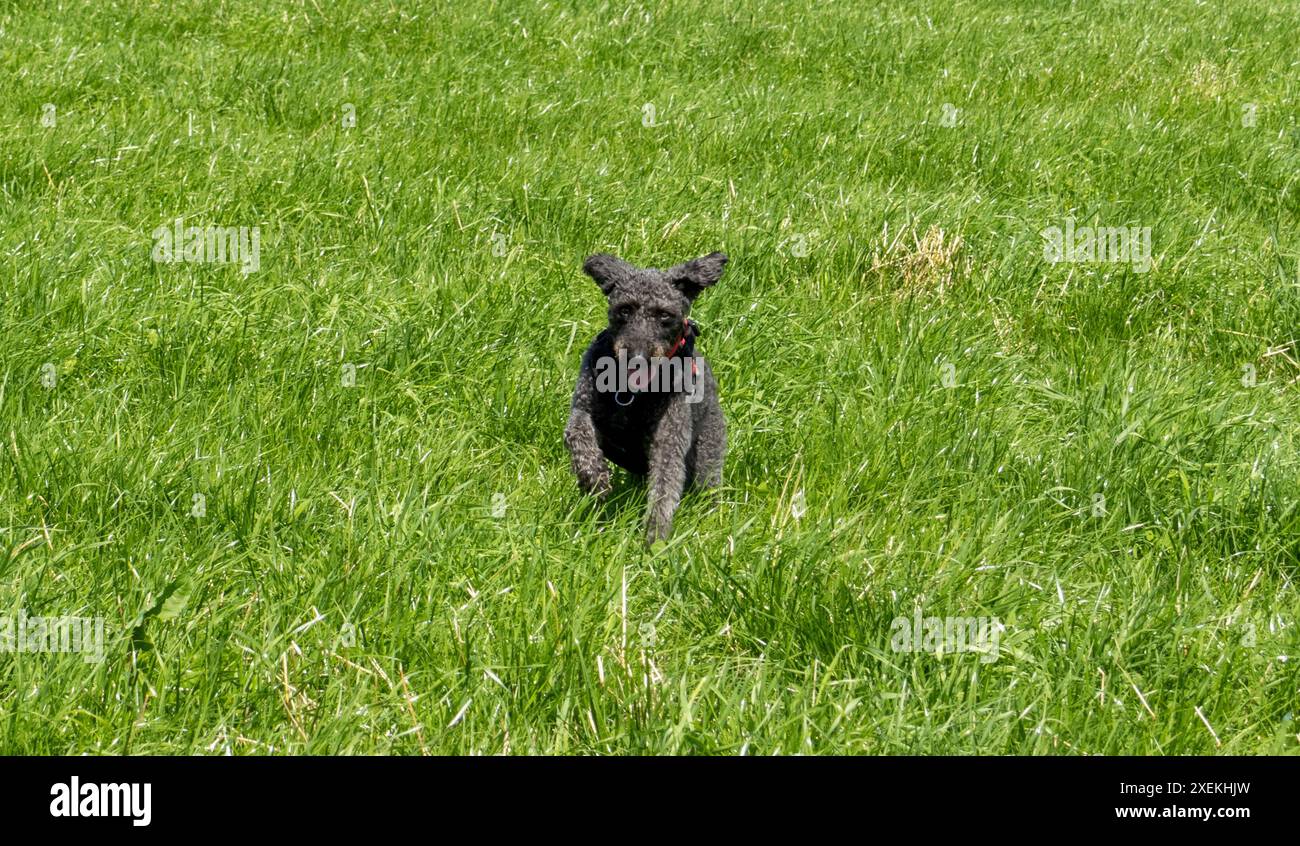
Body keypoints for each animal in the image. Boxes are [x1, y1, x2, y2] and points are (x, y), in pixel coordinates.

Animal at [561, 252, 728, 545]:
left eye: (664, 315)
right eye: (625, 310)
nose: (636, 357)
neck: (632, 395)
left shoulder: (670, 436)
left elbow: (664, 485)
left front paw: (655, 534)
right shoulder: (583, 408)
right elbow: (577, 432)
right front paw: (593, 475)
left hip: (708, 456)